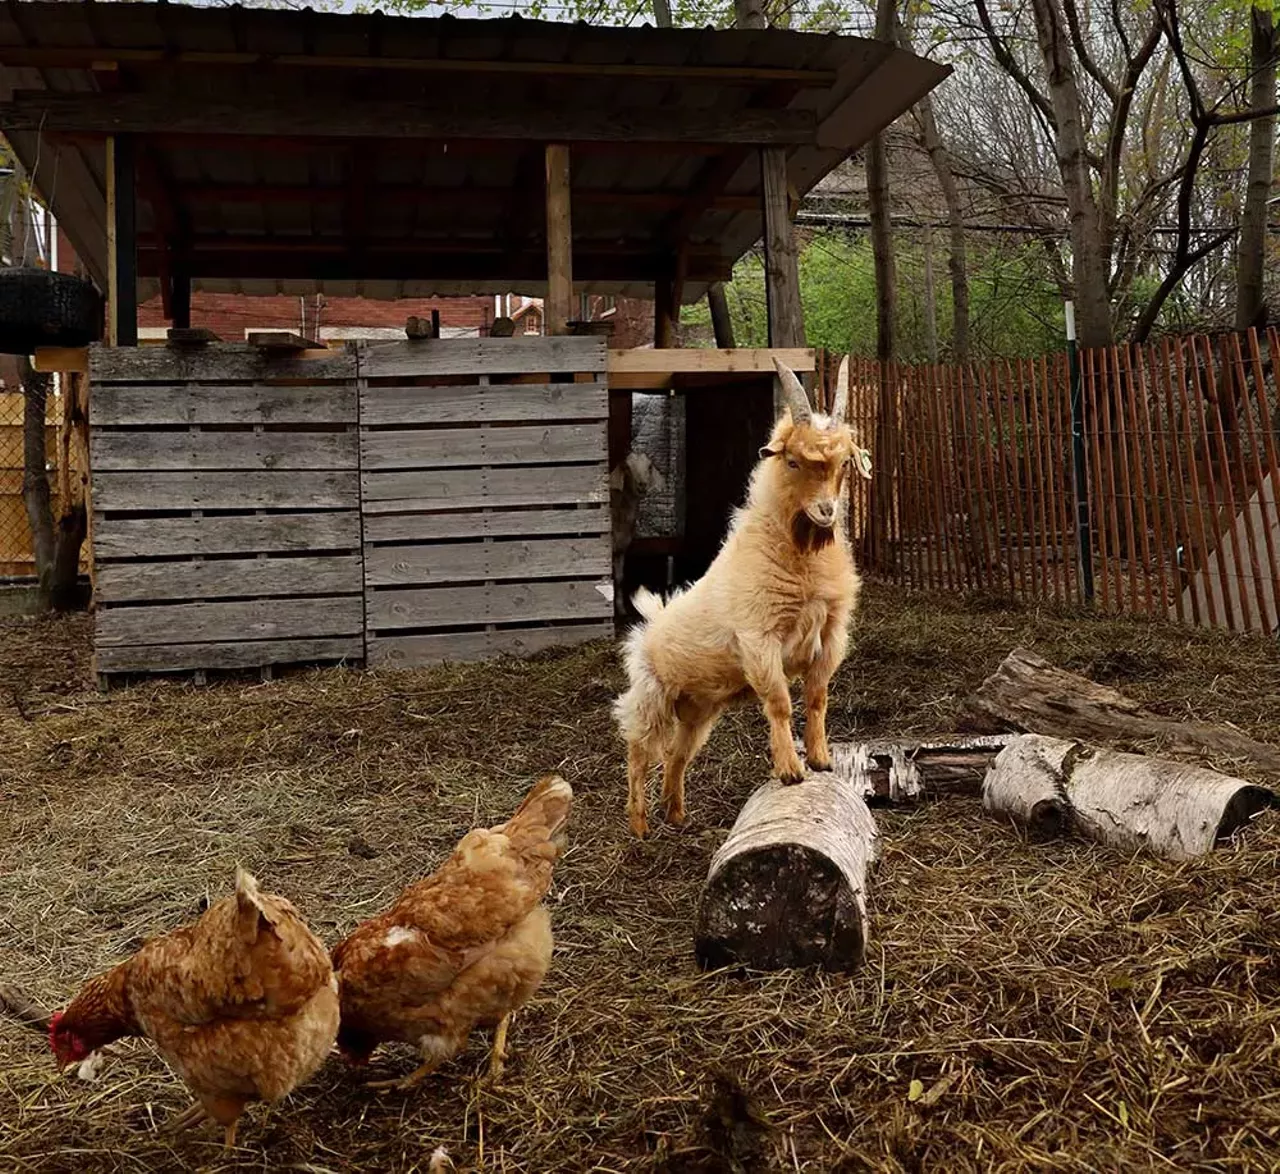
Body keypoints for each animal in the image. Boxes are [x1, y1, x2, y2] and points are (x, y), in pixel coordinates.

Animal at [611, 448, 670, 619]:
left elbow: (619, 579)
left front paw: (621, 609)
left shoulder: (621, 549)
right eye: (627, 468)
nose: (642, 485)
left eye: (649, 467)